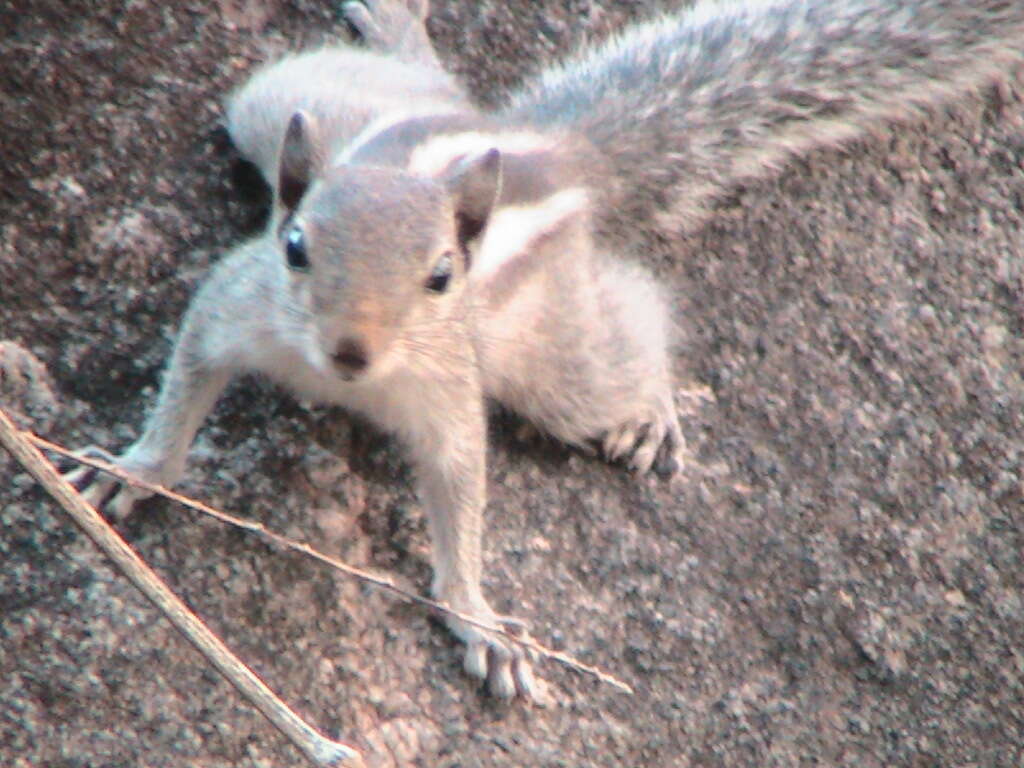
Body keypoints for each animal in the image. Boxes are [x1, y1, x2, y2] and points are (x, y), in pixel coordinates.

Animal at [70, 0, 1024, 700]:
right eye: (296, 246)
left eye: (442, 276)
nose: (349, 352)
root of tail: (562, 152)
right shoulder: (235, 305)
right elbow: (187, 376)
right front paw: (135, 467)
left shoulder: (448, 391)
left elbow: (461, 489)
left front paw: (476, 616)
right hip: (280, 100)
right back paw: (399, 28)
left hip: (559, 360)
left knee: (633, 321)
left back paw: (654, 410)